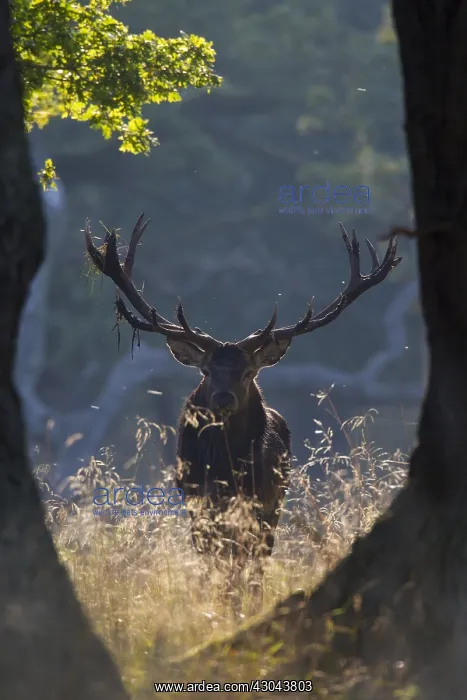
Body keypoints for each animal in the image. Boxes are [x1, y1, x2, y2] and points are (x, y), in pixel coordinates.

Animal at [84, 214, 401, 599]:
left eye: (248, 372)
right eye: (206, 370)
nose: (223, 398)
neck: (224, 469)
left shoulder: (258, 503)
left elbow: (242, 568)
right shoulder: (197, 504)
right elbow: (212, 566)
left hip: (275, 503)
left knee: (257, 563)